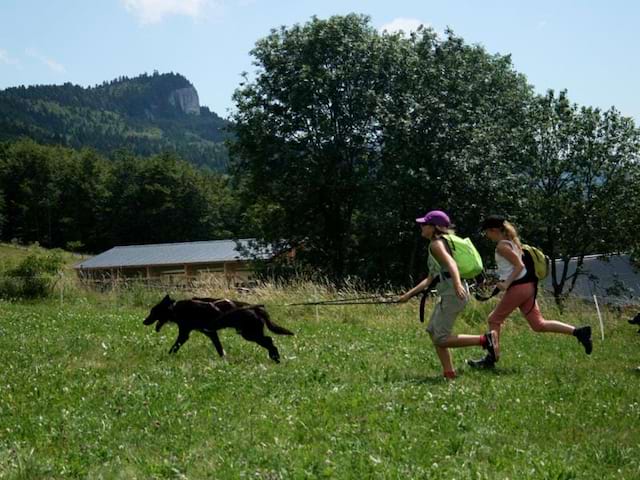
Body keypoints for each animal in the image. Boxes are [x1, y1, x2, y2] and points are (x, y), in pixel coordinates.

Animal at [143, 292, 296, 364]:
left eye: (153, 311)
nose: (144, 321)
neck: (176, 308)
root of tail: (256, 308)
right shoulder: (211, 333)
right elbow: (219, 348)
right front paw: (224, 360)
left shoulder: (184, 334)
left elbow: (174, 347)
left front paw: (166, 357)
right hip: (249, 333)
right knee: (269, 340)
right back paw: (275, 357)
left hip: (249, 334)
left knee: (269, 341)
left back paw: (275, 357)